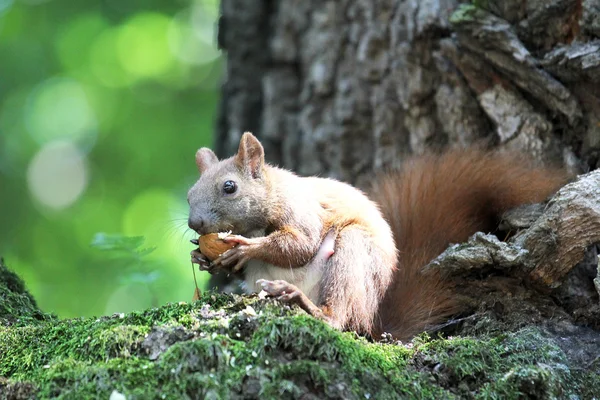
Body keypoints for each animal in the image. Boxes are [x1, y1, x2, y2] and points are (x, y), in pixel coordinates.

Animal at [186, 131, 568, 340]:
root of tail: (374, 323)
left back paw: (302, 301)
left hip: (352, 255)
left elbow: (300, 245)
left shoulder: (302, 210)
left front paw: (246, 248)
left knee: (337, 319)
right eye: (189, 194)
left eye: (230, 187)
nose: (195, 223)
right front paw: (202, 257)